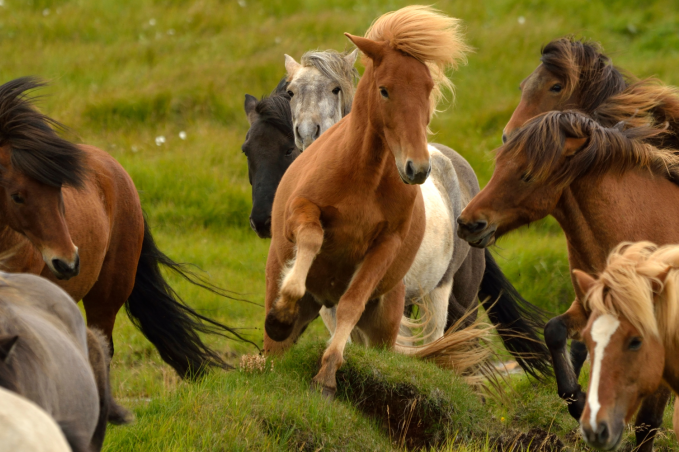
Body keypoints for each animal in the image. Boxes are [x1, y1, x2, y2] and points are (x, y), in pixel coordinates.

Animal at [0, 77, 254, 379]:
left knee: (101, 349)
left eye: (59, 189)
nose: (68, 262)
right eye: (17, 196)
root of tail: (116, 170)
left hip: (106, 296)